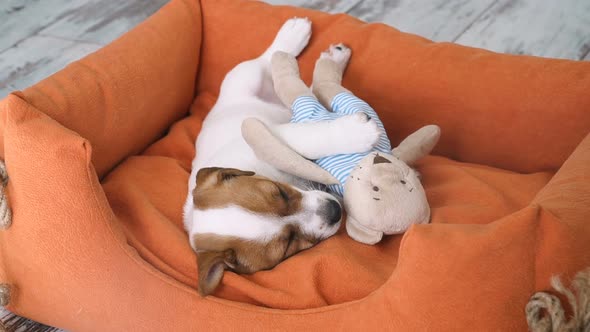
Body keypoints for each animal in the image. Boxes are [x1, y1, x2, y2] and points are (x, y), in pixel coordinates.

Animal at [183, 17, 382, 296]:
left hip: (243, 78)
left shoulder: (274, 134)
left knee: (266, 58)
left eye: (279, 192)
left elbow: (312, 139)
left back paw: (297, 36)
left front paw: (355, 133)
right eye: (288, 243)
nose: (334, 211)